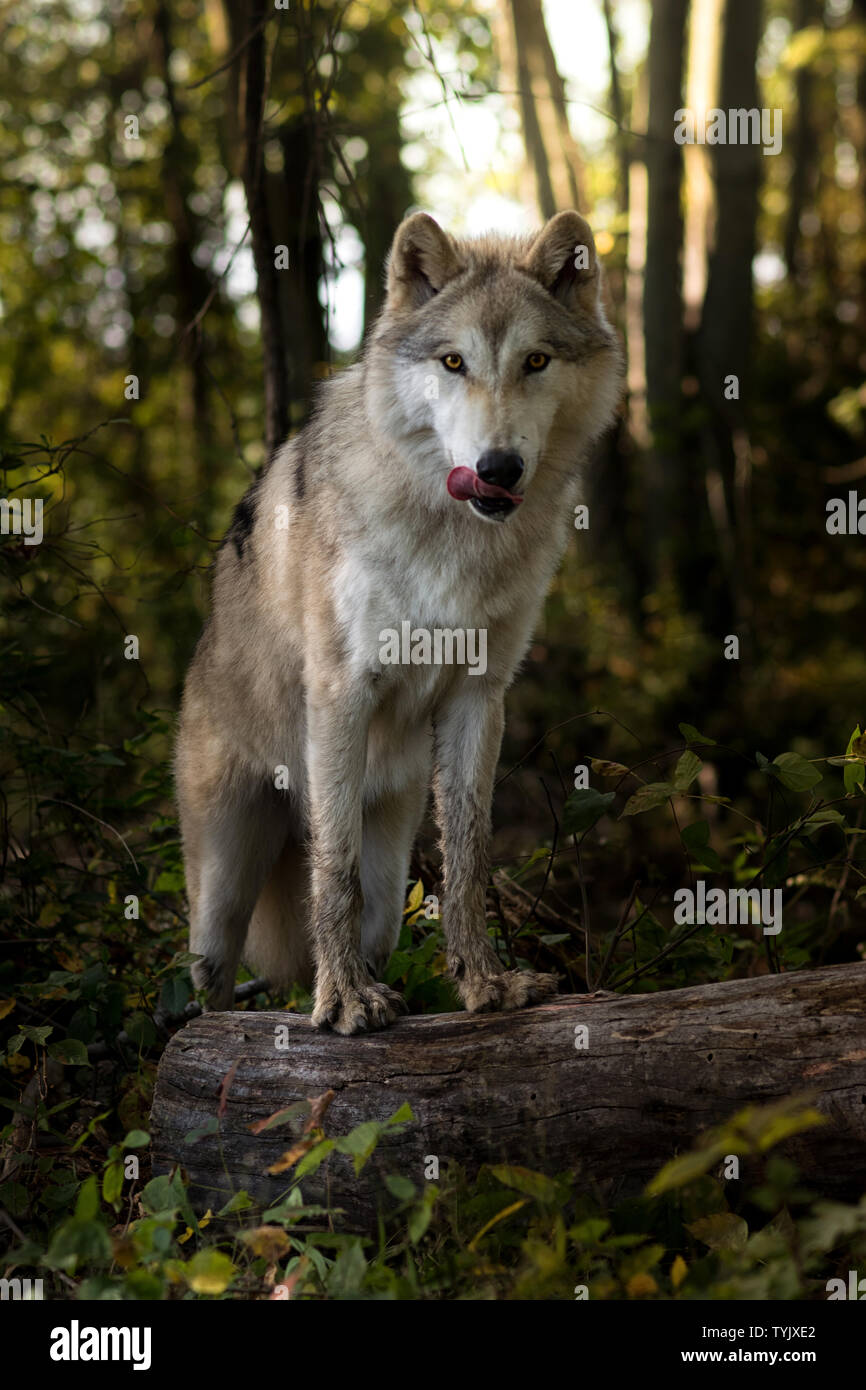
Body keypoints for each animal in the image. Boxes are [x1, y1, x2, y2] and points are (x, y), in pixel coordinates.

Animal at [176, 209, 623, 1034]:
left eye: (535, 361)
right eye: (453, 362)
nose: (499, 467)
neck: (451, 534)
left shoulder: (481, 695)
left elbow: (469, 857)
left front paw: (484, 985)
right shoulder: (342, 693)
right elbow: (335, 870)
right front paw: (342, 1004)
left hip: (390, 869)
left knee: (376, 918)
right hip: (219, 891)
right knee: (206, 990)